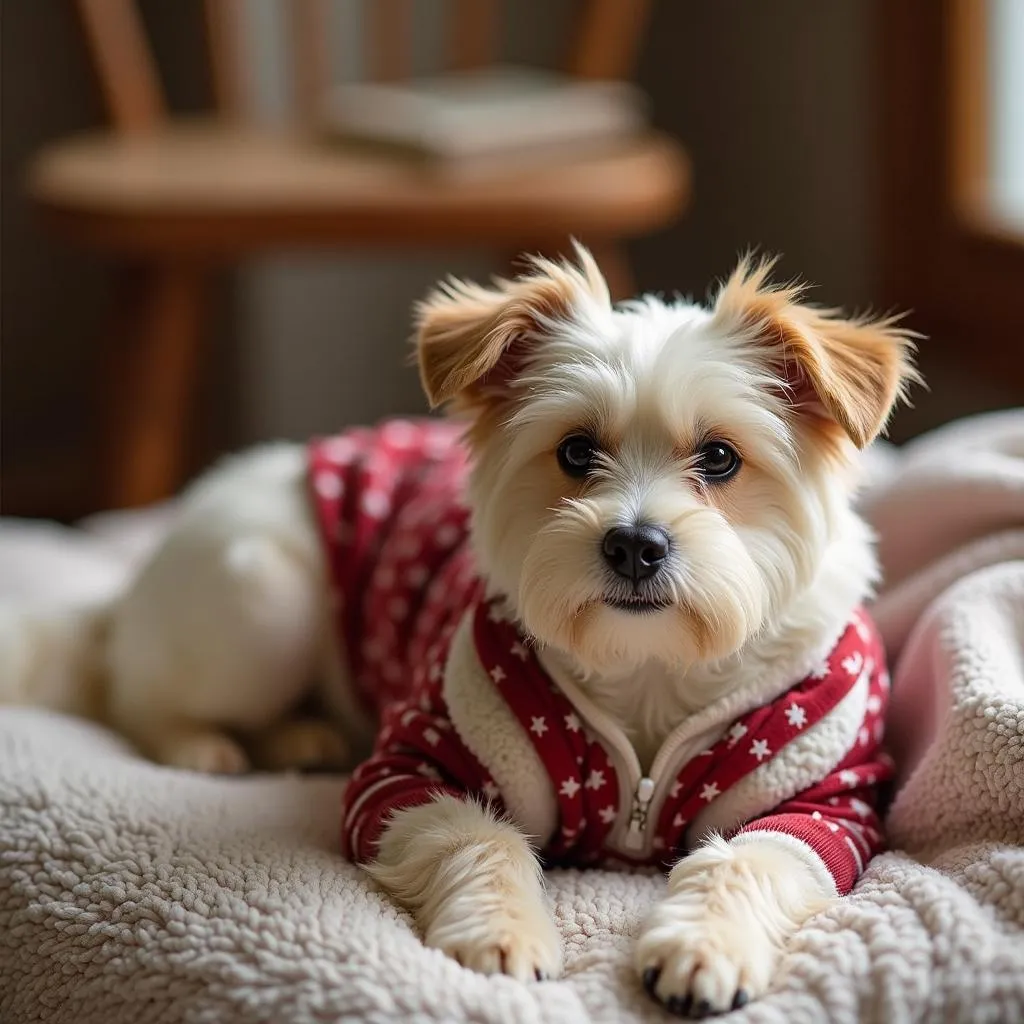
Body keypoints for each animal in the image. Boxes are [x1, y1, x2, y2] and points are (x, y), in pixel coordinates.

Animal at [2, 247, 921, 1015]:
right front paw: (501, 932)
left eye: (722, 459)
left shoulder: (830, 805)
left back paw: (300, 735)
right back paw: (203, 745)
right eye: (576, 452)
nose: (633, 543)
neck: (647, 671)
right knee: (134, 694)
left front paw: (705, 947)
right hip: (263, 597)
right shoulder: (408, 771)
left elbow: (746, 861)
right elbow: (477, 839)